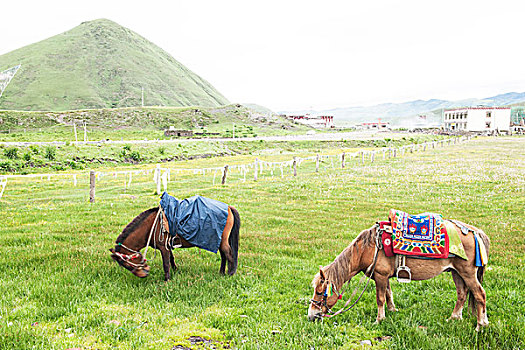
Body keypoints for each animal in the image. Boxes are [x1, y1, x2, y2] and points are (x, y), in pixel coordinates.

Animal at [111, 206, 243, 280]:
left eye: (128, 265)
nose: (144, 274)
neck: (152, 225)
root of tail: (229, 208)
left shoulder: (163, 248)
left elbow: (166, 263)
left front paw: (167, 280)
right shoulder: (167, 246)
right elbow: (171, 259)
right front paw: (175, 271)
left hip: (222, 241)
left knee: (229, 254)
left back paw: (230, 273)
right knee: (223, 255)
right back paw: (221, 272)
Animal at [310, 221, 490, 330]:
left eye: (320, 292)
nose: (311, 316)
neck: (369, 249)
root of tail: (475, 232)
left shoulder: (380, 276)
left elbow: (380, 298)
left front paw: (379, 319)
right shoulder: (383, 277)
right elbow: (388, 294)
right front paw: (392, 311)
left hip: (467, 273)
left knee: (480, 295)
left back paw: (480, 325)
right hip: (456, 272)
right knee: (462, 294)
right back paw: (454, 318)